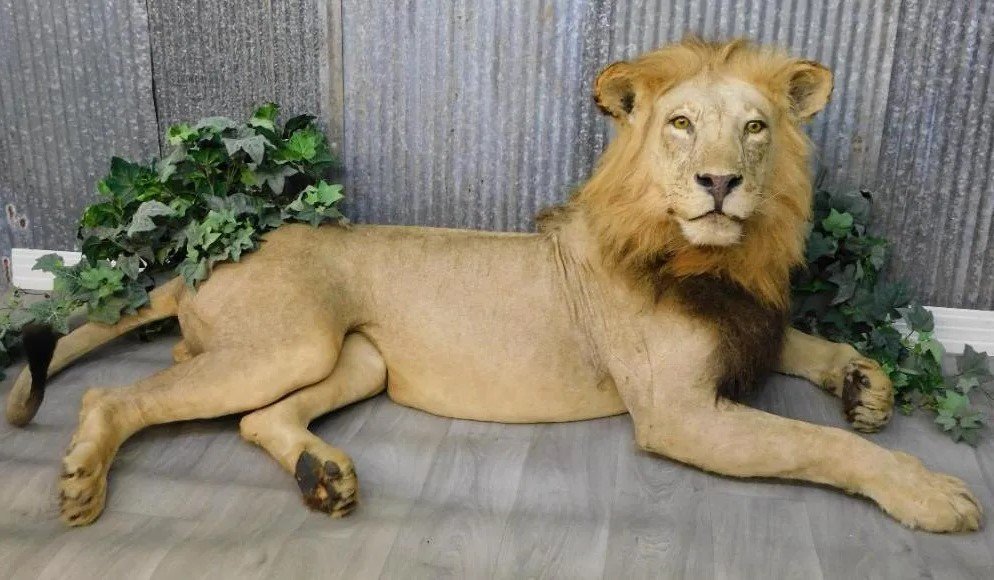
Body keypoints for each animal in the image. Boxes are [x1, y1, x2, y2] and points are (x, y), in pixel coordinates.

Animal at [5, 38, 981, 532]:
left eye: (754, 128)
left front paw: (863, 381)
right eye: (679, 125)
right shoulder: (680, 414)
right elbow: (823, 448)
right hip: (287, 342)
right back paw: (82, 481)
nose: (721, 183)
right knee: (109, 397)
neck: (711, 257)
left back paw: (325, 477)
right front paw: (931, 493)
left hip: (355, 360)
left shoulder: (748, 327)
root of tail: (206, 257)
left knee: (257, 419)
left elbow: (806, 344)